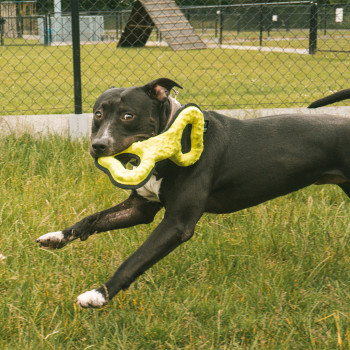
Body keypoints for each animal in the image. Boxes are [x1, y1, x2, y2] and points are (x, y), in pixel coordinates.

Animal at [37, 80, 350, 308]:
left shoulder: (176, 224)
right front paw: (57, 236)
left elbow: (134, 260)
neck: (169, 140)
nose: (98, 145)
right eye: (98, 115)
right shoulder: (140, 209)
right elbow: (91, 219)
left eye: (128, 116)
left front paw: (99, 294)